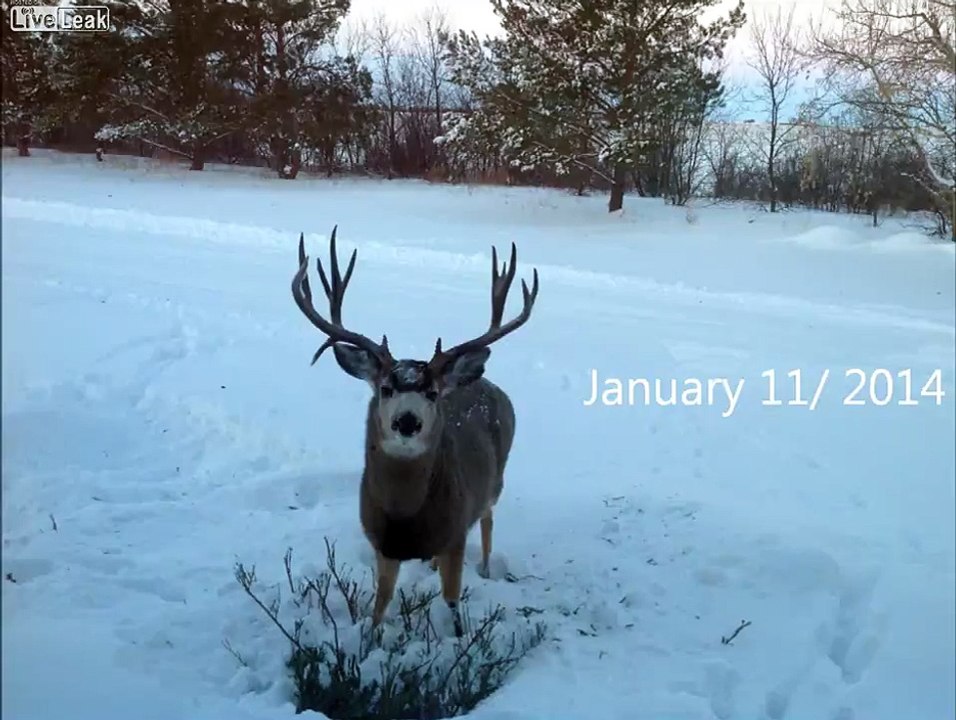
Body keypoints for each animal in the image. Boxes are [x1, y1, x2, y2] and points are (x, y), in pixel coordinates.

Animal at [291, 226, 539, 637]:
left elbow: (452, 604)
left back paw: (487, 567)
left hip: (496, 479)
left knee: (488, 519)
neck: (406, 519)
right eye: (385, 388)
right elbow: (379, 606)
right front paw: (370, 643)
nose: (407, 422)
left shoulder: (455, 535)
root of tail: (484, 382)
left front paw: (458, 640)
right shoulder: (382, 545)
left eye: (432, 392)